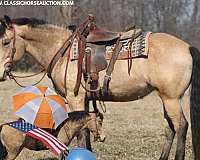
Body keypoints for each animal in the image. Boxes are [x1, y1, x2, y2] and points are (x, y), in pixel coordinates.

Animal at [0, 14, 199, 159]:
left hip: (171, 98)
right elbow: (87, 128)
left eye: (5, 42)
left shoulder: (75, 97)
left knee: (181, 126)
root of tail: (187, 47)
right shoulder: (86, 99)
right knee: (170, 128)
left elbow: (80, 131)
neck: (63, 50)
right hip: (165, 98)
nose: (1, 72)